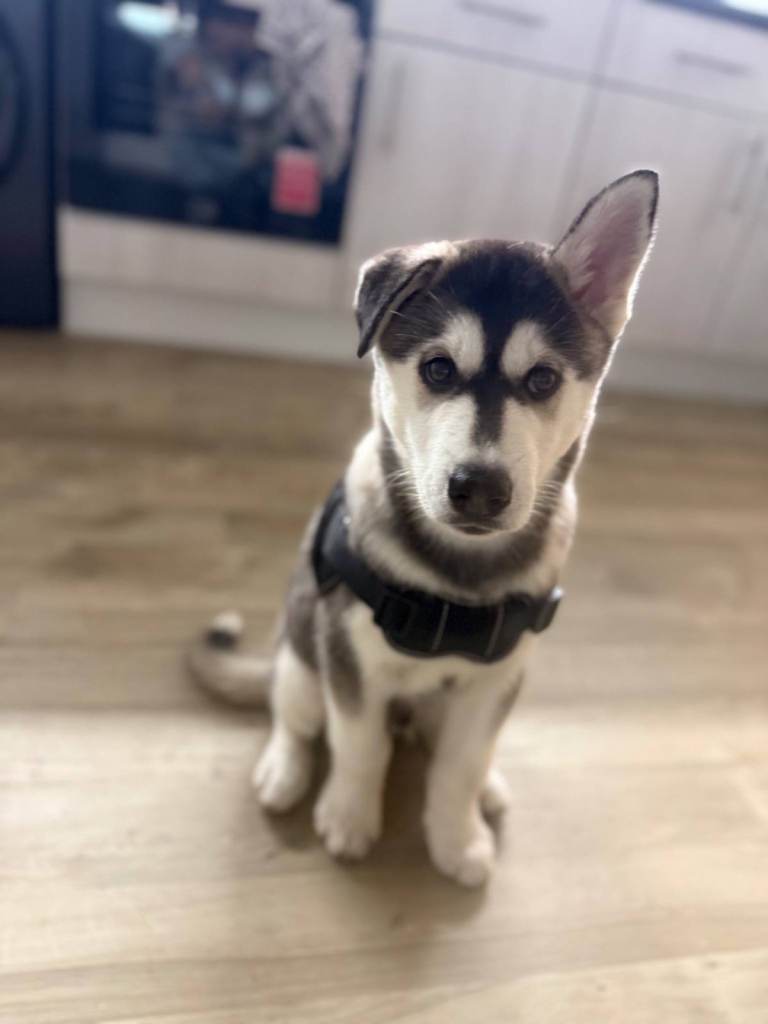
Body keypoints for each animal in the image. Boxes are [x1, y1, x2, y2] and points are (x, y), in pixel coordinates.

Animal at [189, 170, 659, 886]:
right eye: (438, 368)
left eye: (542, 378)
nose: (480, 489)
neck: (458, 574)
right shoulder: (350, 660)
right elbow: (359, 745)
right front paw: (350, 817)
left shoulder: (496, 679)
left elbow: (461, 765)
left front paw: (456, 837)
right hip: (302, 653)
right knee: (293, 716)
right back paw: (284, 771)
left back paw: (486, 789)